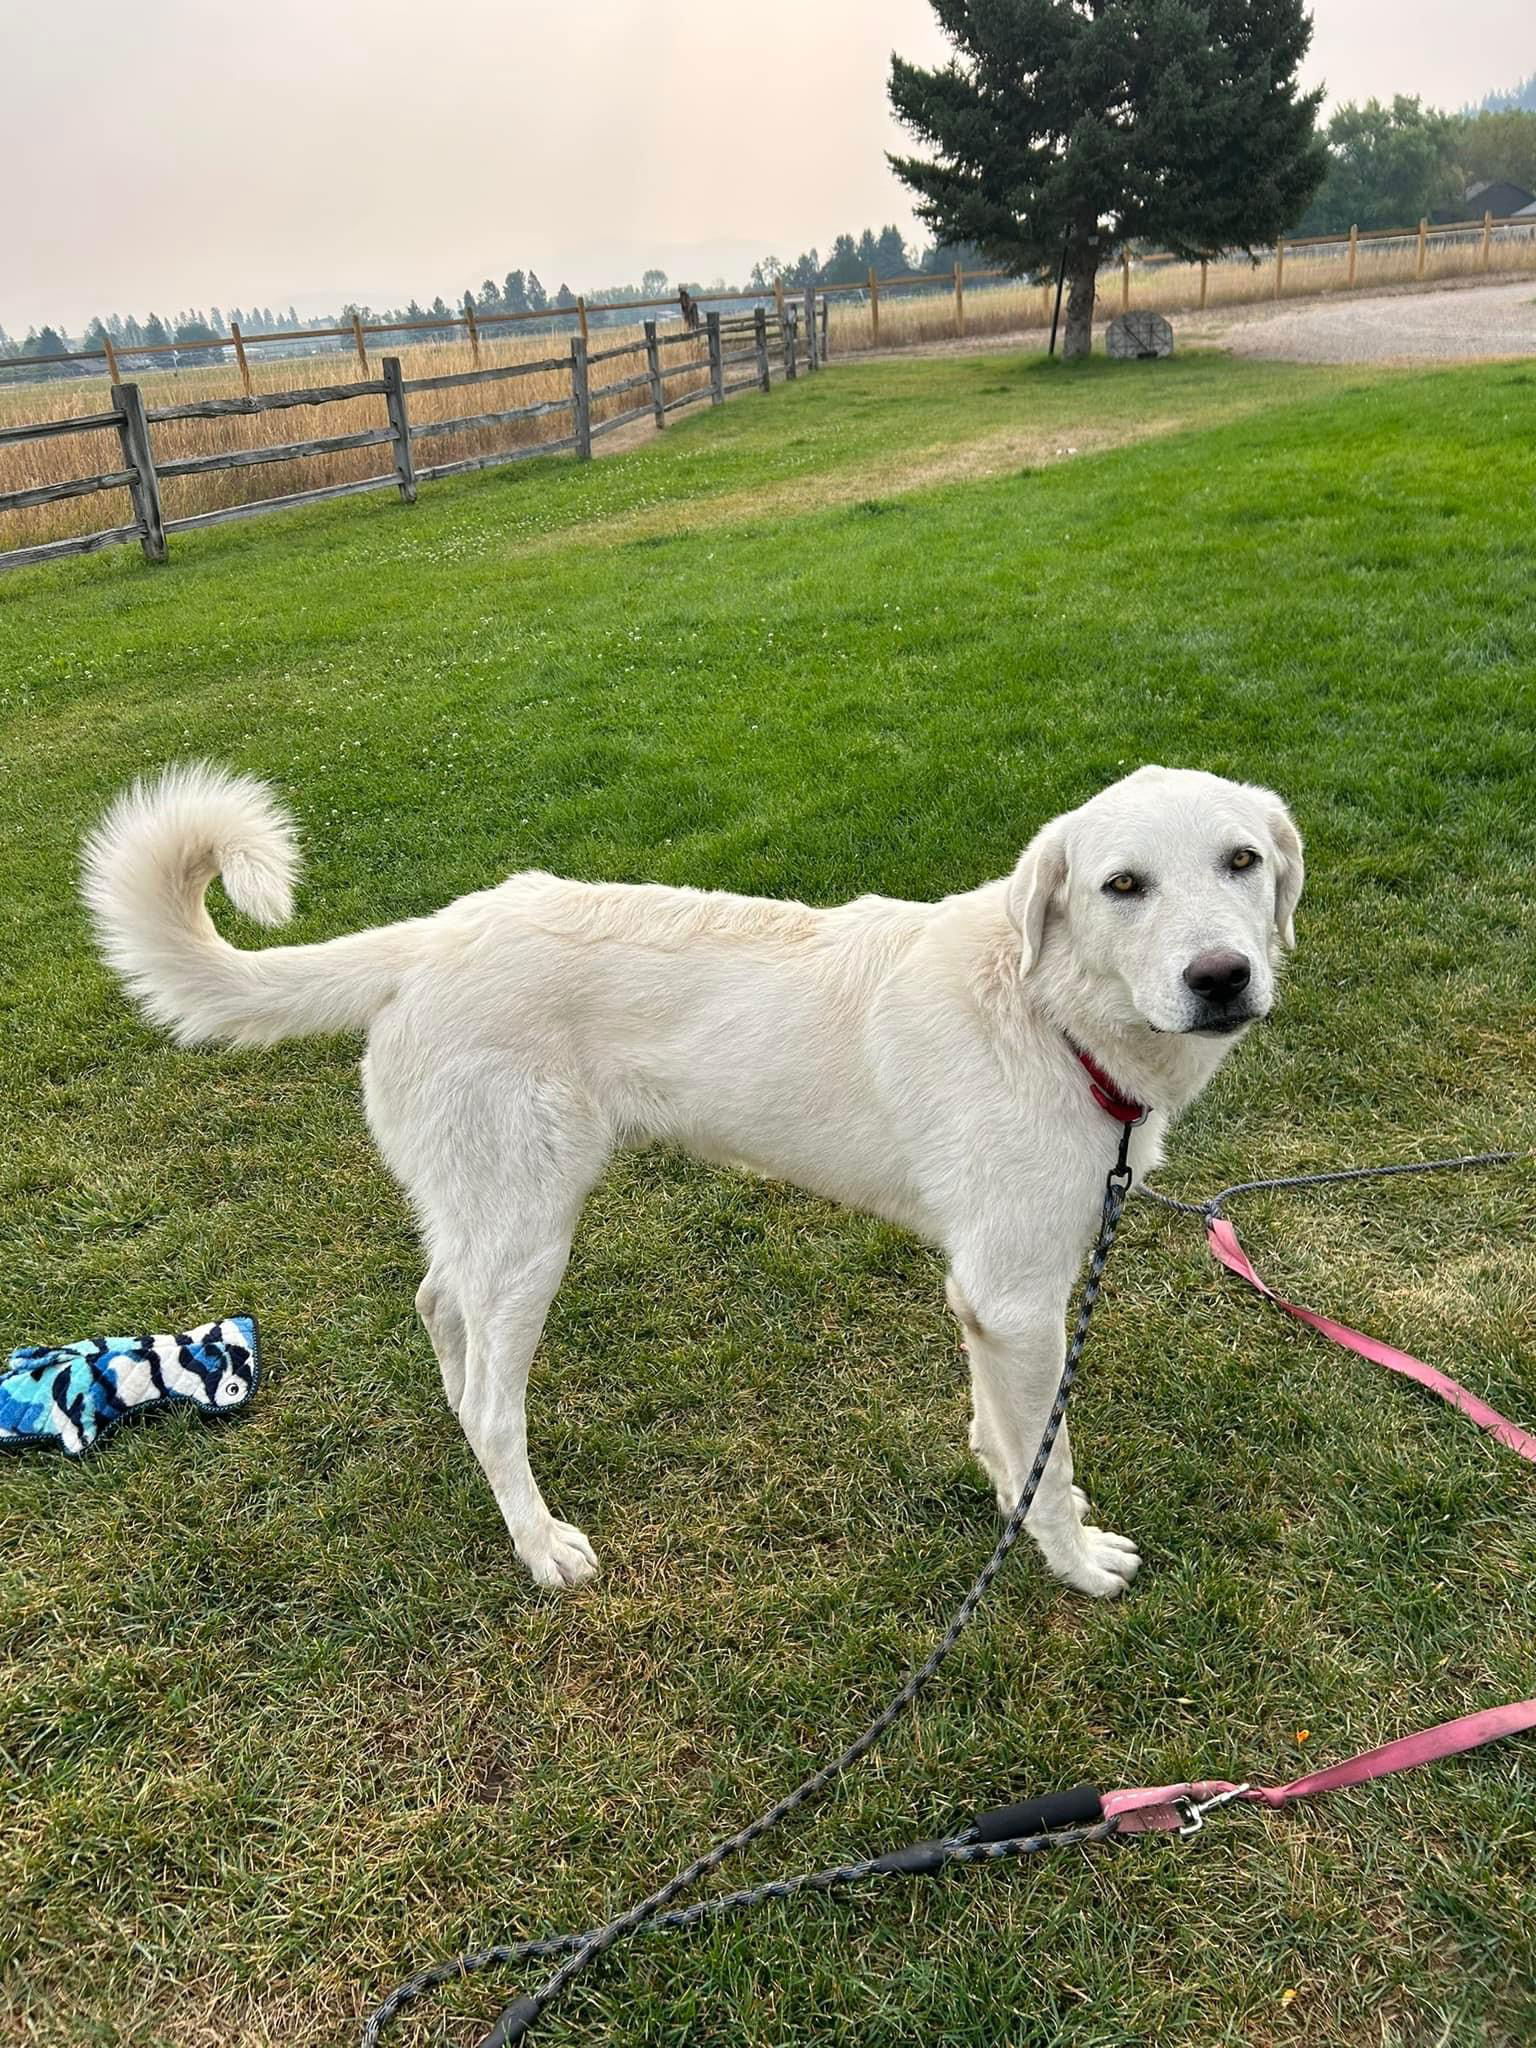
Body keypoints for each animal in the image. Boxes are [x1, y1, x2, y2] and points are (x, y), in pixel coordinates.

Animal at [83, 765, 1302, 1597]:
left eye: (1242, 861)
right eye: (1122, 886)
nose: (1222, 976)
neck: (1052, 1012)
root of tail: (429, 937)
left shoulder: (991, 1303)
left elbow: (1007, 1437)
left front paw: (1013, 1494)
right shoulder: (1017, 1299)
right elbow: (1044, 1458)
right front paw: (1071, 1559)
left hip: (486, 1217)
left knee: (441, 1314)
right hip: (532, 1234)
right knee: (494, 1403)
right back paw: (540, 1544)